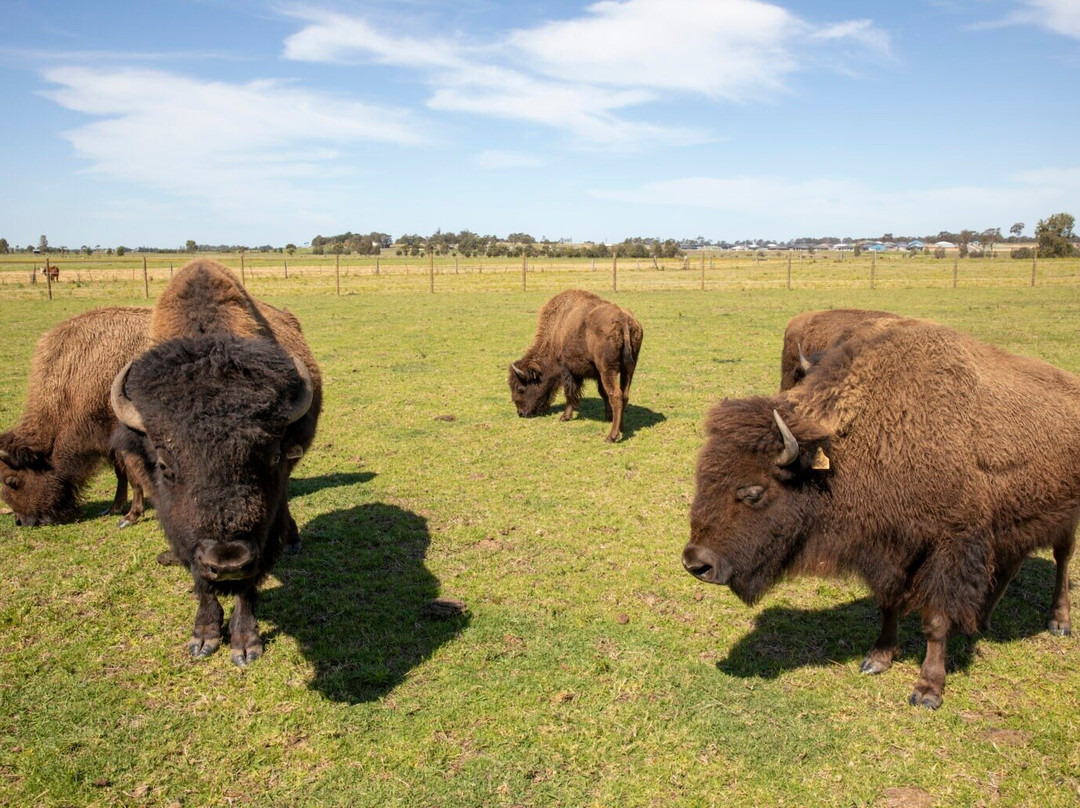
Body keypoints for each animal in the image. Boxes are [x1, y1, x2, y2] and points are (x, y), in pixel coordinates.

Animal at [0, 306, 152, 527]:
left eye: (12, 481)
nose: (22, 521)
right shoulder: (110, 443)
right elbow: (121, 473)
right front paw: (113, 508)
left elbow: (132, 475)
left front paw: (130, 517)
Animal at [110, 260, 319, 669]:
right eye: (165, 464)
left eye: (271, 455)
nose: (227, 560)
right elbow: (201, 581)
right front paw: (204, 638)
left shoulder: (258, 535)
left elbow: (247, 585)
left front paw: (245, 644)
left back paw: (292, 540)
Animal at [507, 289, 639, 442]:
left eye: (521, 388)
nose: (521, 413)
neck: (555, 332)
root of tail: (623, 319)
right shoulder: (597, 375)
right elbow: (603, 394)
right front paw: (608, 417)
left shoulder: (567, 370)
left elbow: (569, 393)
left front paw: (564, 417)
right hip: (628, 369)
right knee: (624, 395)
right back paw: (621, 427)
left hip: (608, 370)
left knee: (616, 396)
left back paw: (611, 437)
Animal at [682, 315, 1080, 708]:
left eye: (753, 492)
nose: (696, 563)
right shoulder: (891, 547)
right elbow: (889, 602)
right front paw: (878, 658)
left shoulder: (950, 545)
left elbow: (935, 619)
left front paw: (928, 690)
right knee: (1013, 562)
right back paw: (980, 621)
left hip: (1066, 517)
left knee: (1061, 558)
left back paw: (1059, 622)